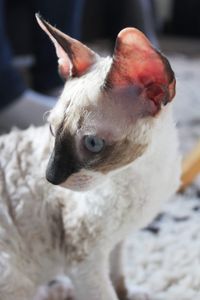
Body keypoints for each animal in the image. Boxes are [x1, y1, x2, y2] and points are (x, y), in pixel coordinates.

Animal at [0, 13, 180, 300]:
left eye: (92, 143)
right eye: (52, 131)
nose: (50, 177)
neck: (139, 175)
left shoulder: (116, 243)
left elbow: (118, 276)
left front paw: (130, 294)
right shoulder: (86, 260)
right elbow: (106, 293)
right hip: (14, 276)